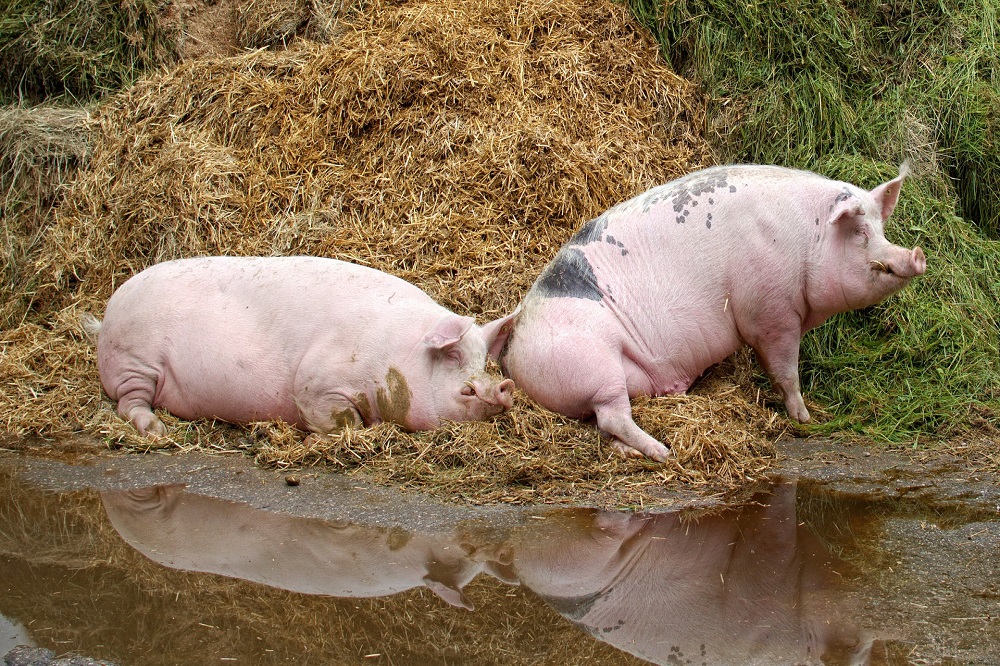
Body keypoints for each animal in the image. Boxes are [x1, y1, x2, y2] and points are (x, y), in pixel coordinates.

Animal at [90, 256, 516, 438]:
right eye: (454, 357)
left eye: (484, 362)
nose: (503, 387)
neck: (396, 355)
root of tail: (106, 317)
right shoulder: (317, 383)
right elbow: (342, 421)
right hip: (135, 362)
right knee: (129, 404)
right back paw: (157, 431)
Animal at [504, 163, 924, 460]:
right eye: (860, 233)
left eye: (881, 229)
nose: (916, 255)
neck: (807, 238)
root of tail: (511, 350)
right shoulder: (771, 312)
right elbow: (785, 372)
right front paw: (805, 418)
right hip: (594, 364)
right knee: (612, 414)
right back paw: (663, 453)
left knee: (603, 426)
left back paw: (635, 451)